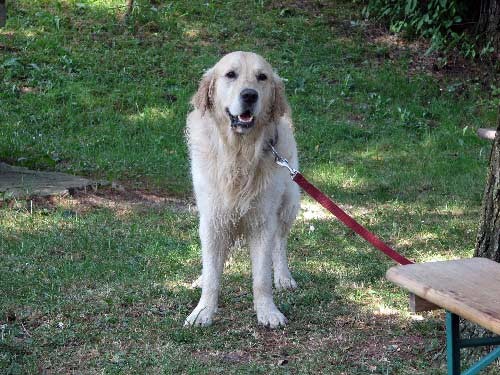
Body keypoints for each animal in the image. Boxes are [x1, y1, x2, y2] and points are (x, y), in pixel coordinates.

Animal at [185, 51, 298, 328]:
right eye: (230, 74)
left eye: (262, 77)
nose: (249, 95)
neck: (238, 153)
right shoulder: (212, 218)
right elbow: (213, 273)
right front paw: (203, 311)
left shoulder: (263, 221)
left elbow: (262, 278)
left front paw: (267, 312)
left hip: (289, 203)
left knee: (280, 243)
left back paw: (283, 277)